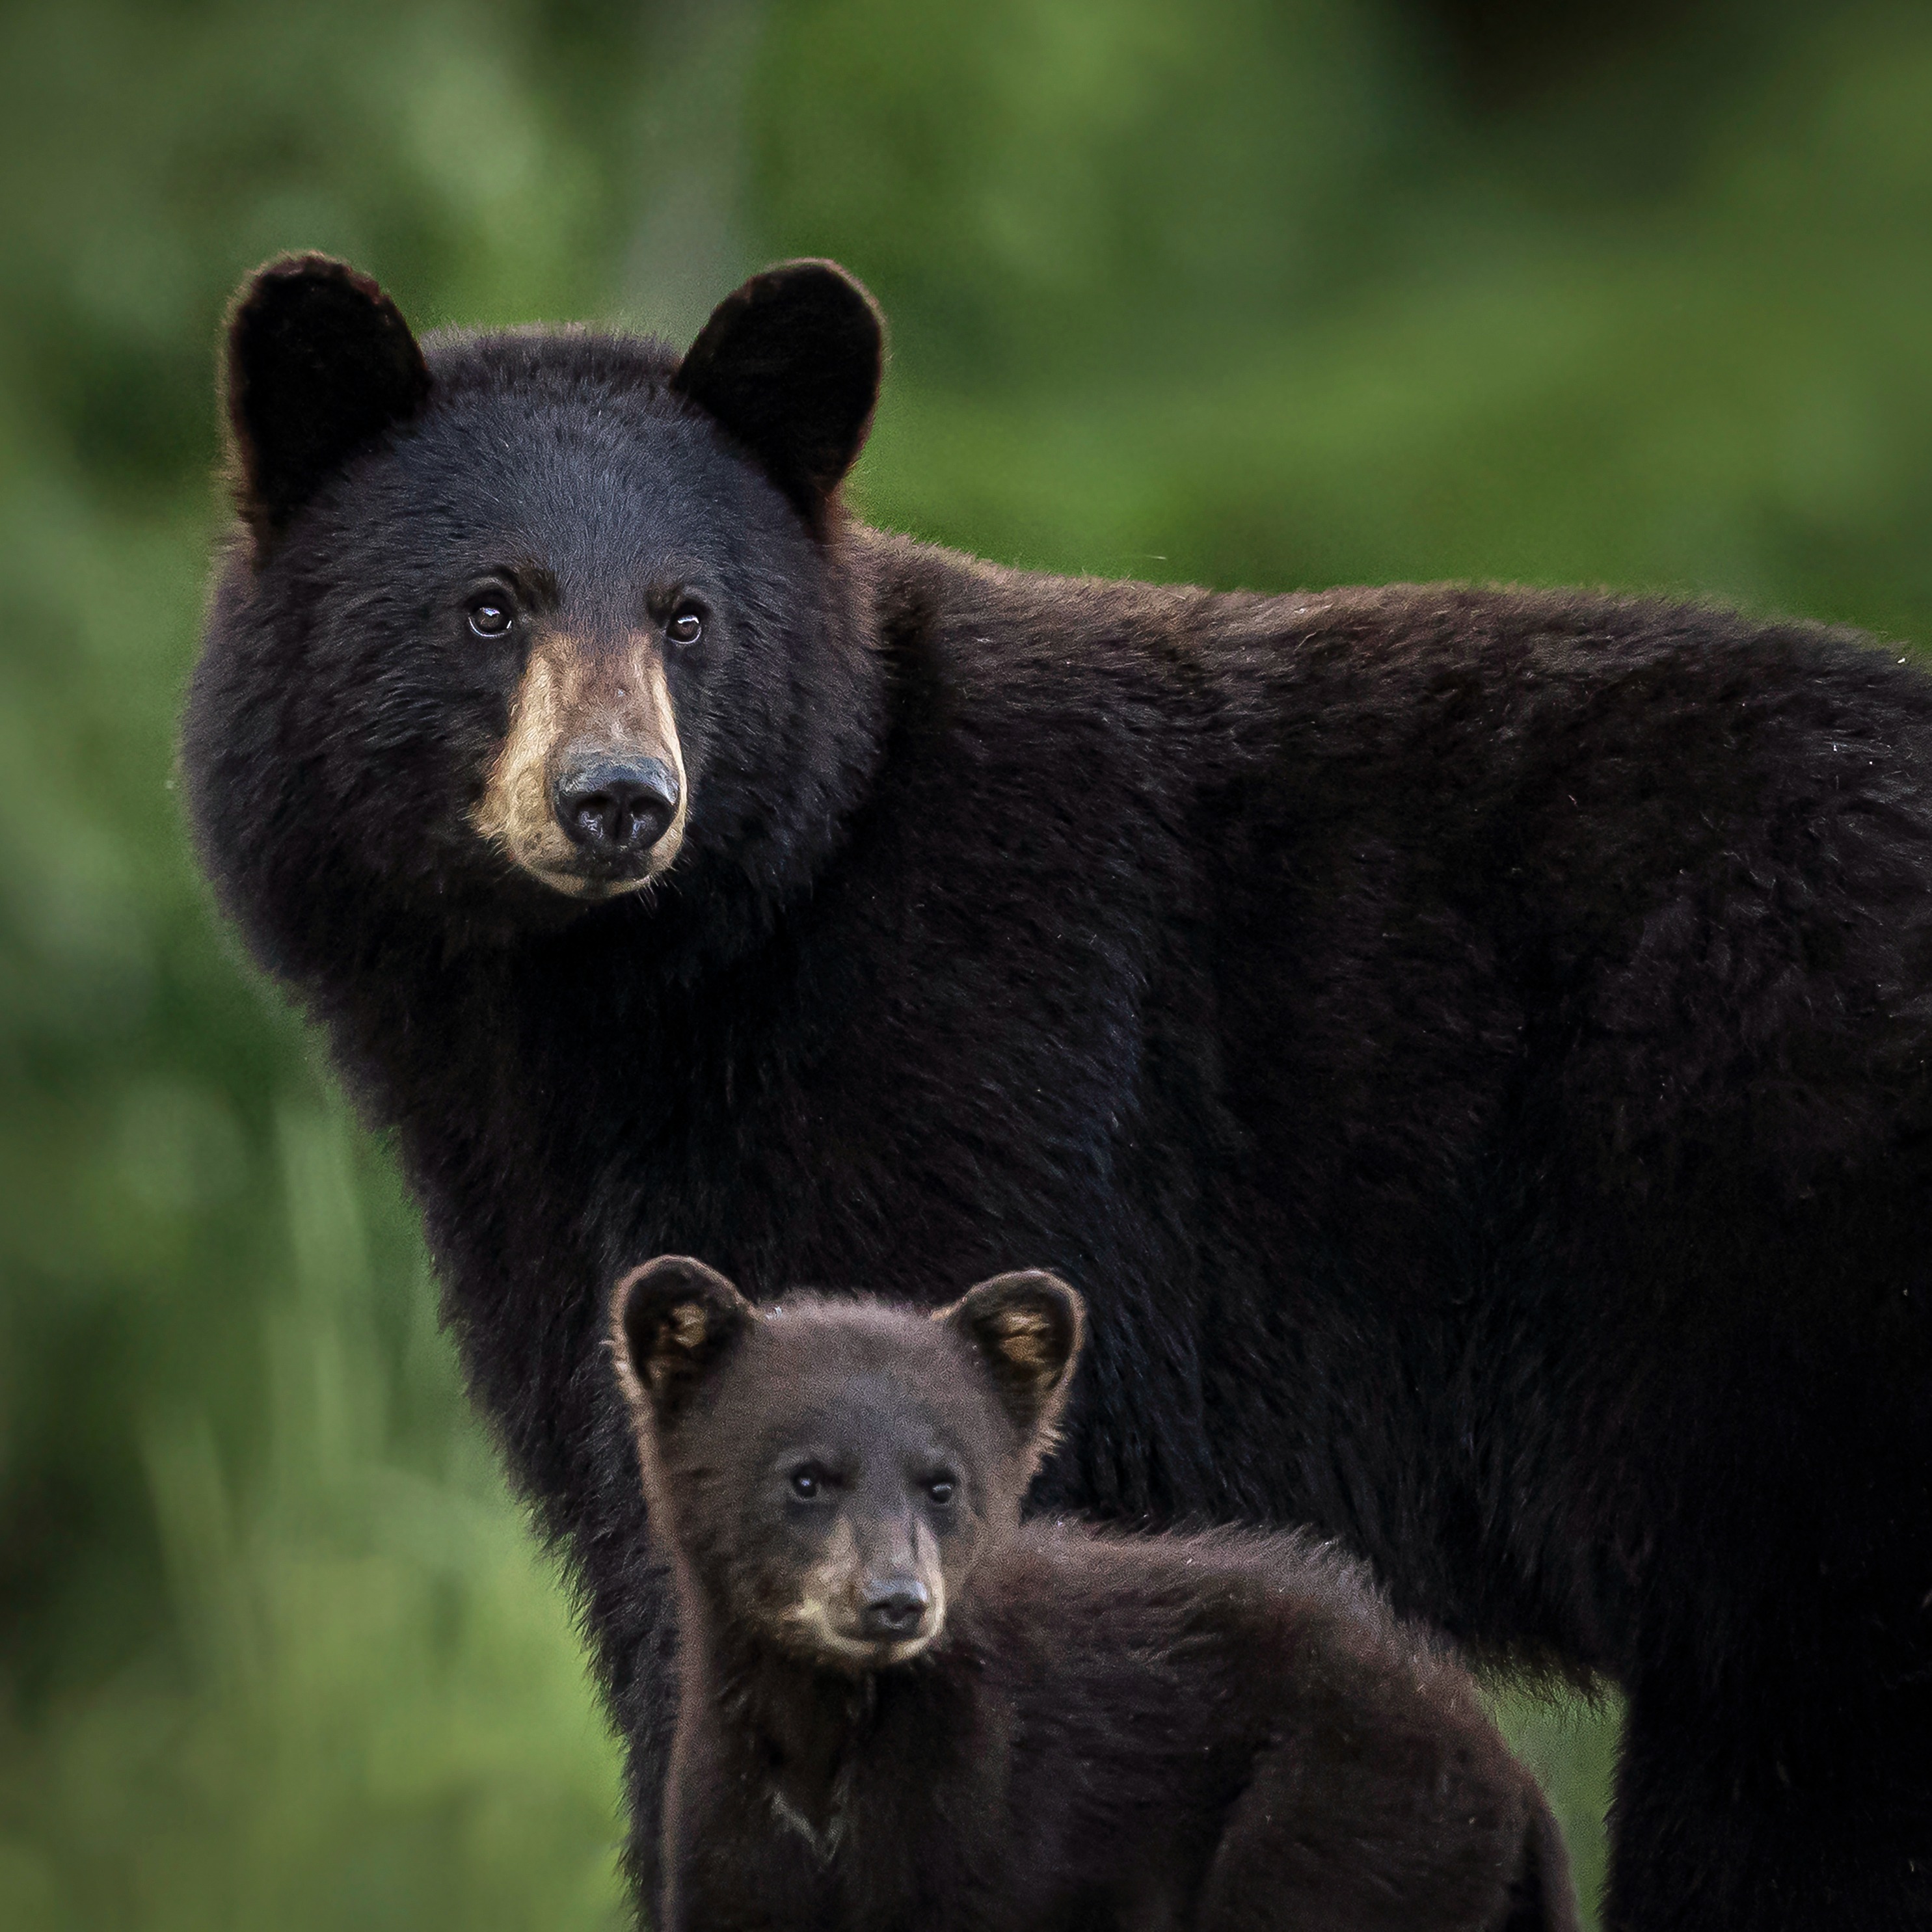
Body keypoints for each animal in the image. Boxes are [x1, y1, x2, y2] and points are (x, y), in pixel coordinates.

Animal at [606, 1253, 1580, 1932]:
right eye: (806, 1478)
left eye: (943, 1482)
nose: (895, 1600)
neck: (826, 1741)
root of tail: (1509, 1770)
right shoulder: (729, 1830)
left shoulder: (991, 1819)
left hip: (1346, 1820)